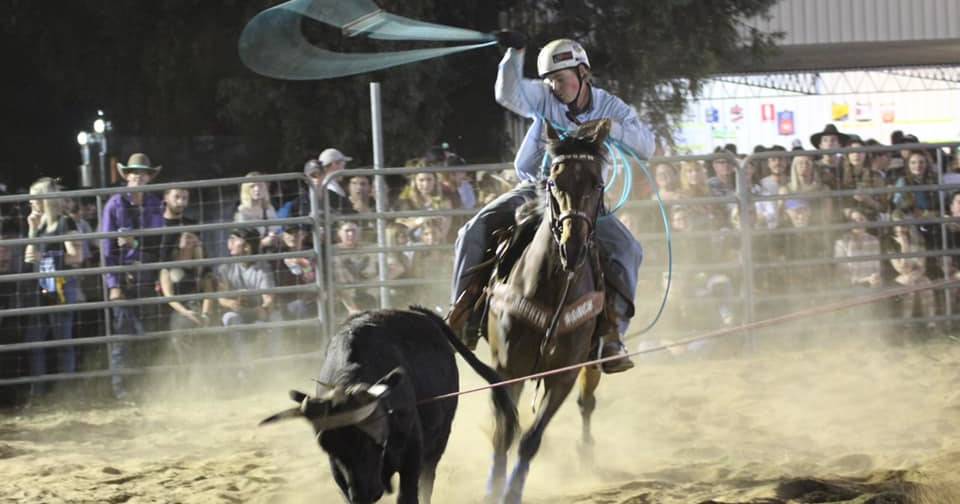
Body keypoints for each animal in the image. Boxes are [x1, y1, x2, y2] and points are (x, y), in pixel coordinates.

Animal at [258, 308, 516, 504]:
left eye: (372, 442)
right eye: (330, 448)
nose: (364, 494)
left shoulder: (412, 452)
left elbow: (410, 494)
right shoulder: (340, 476)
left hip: (440, 436)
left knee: (428, 477)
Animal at [484, 119, 612, 504]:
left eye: (597, 182)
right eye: (554, 182)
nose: (573, 246)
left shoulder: (564, 374)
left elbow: (530, 439)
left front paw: (512, 492)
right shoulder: (506, 368)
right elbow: (504, 433)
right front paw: (493, 489)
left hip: (592, 358)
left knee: (587, 402)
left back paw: (586, 451)